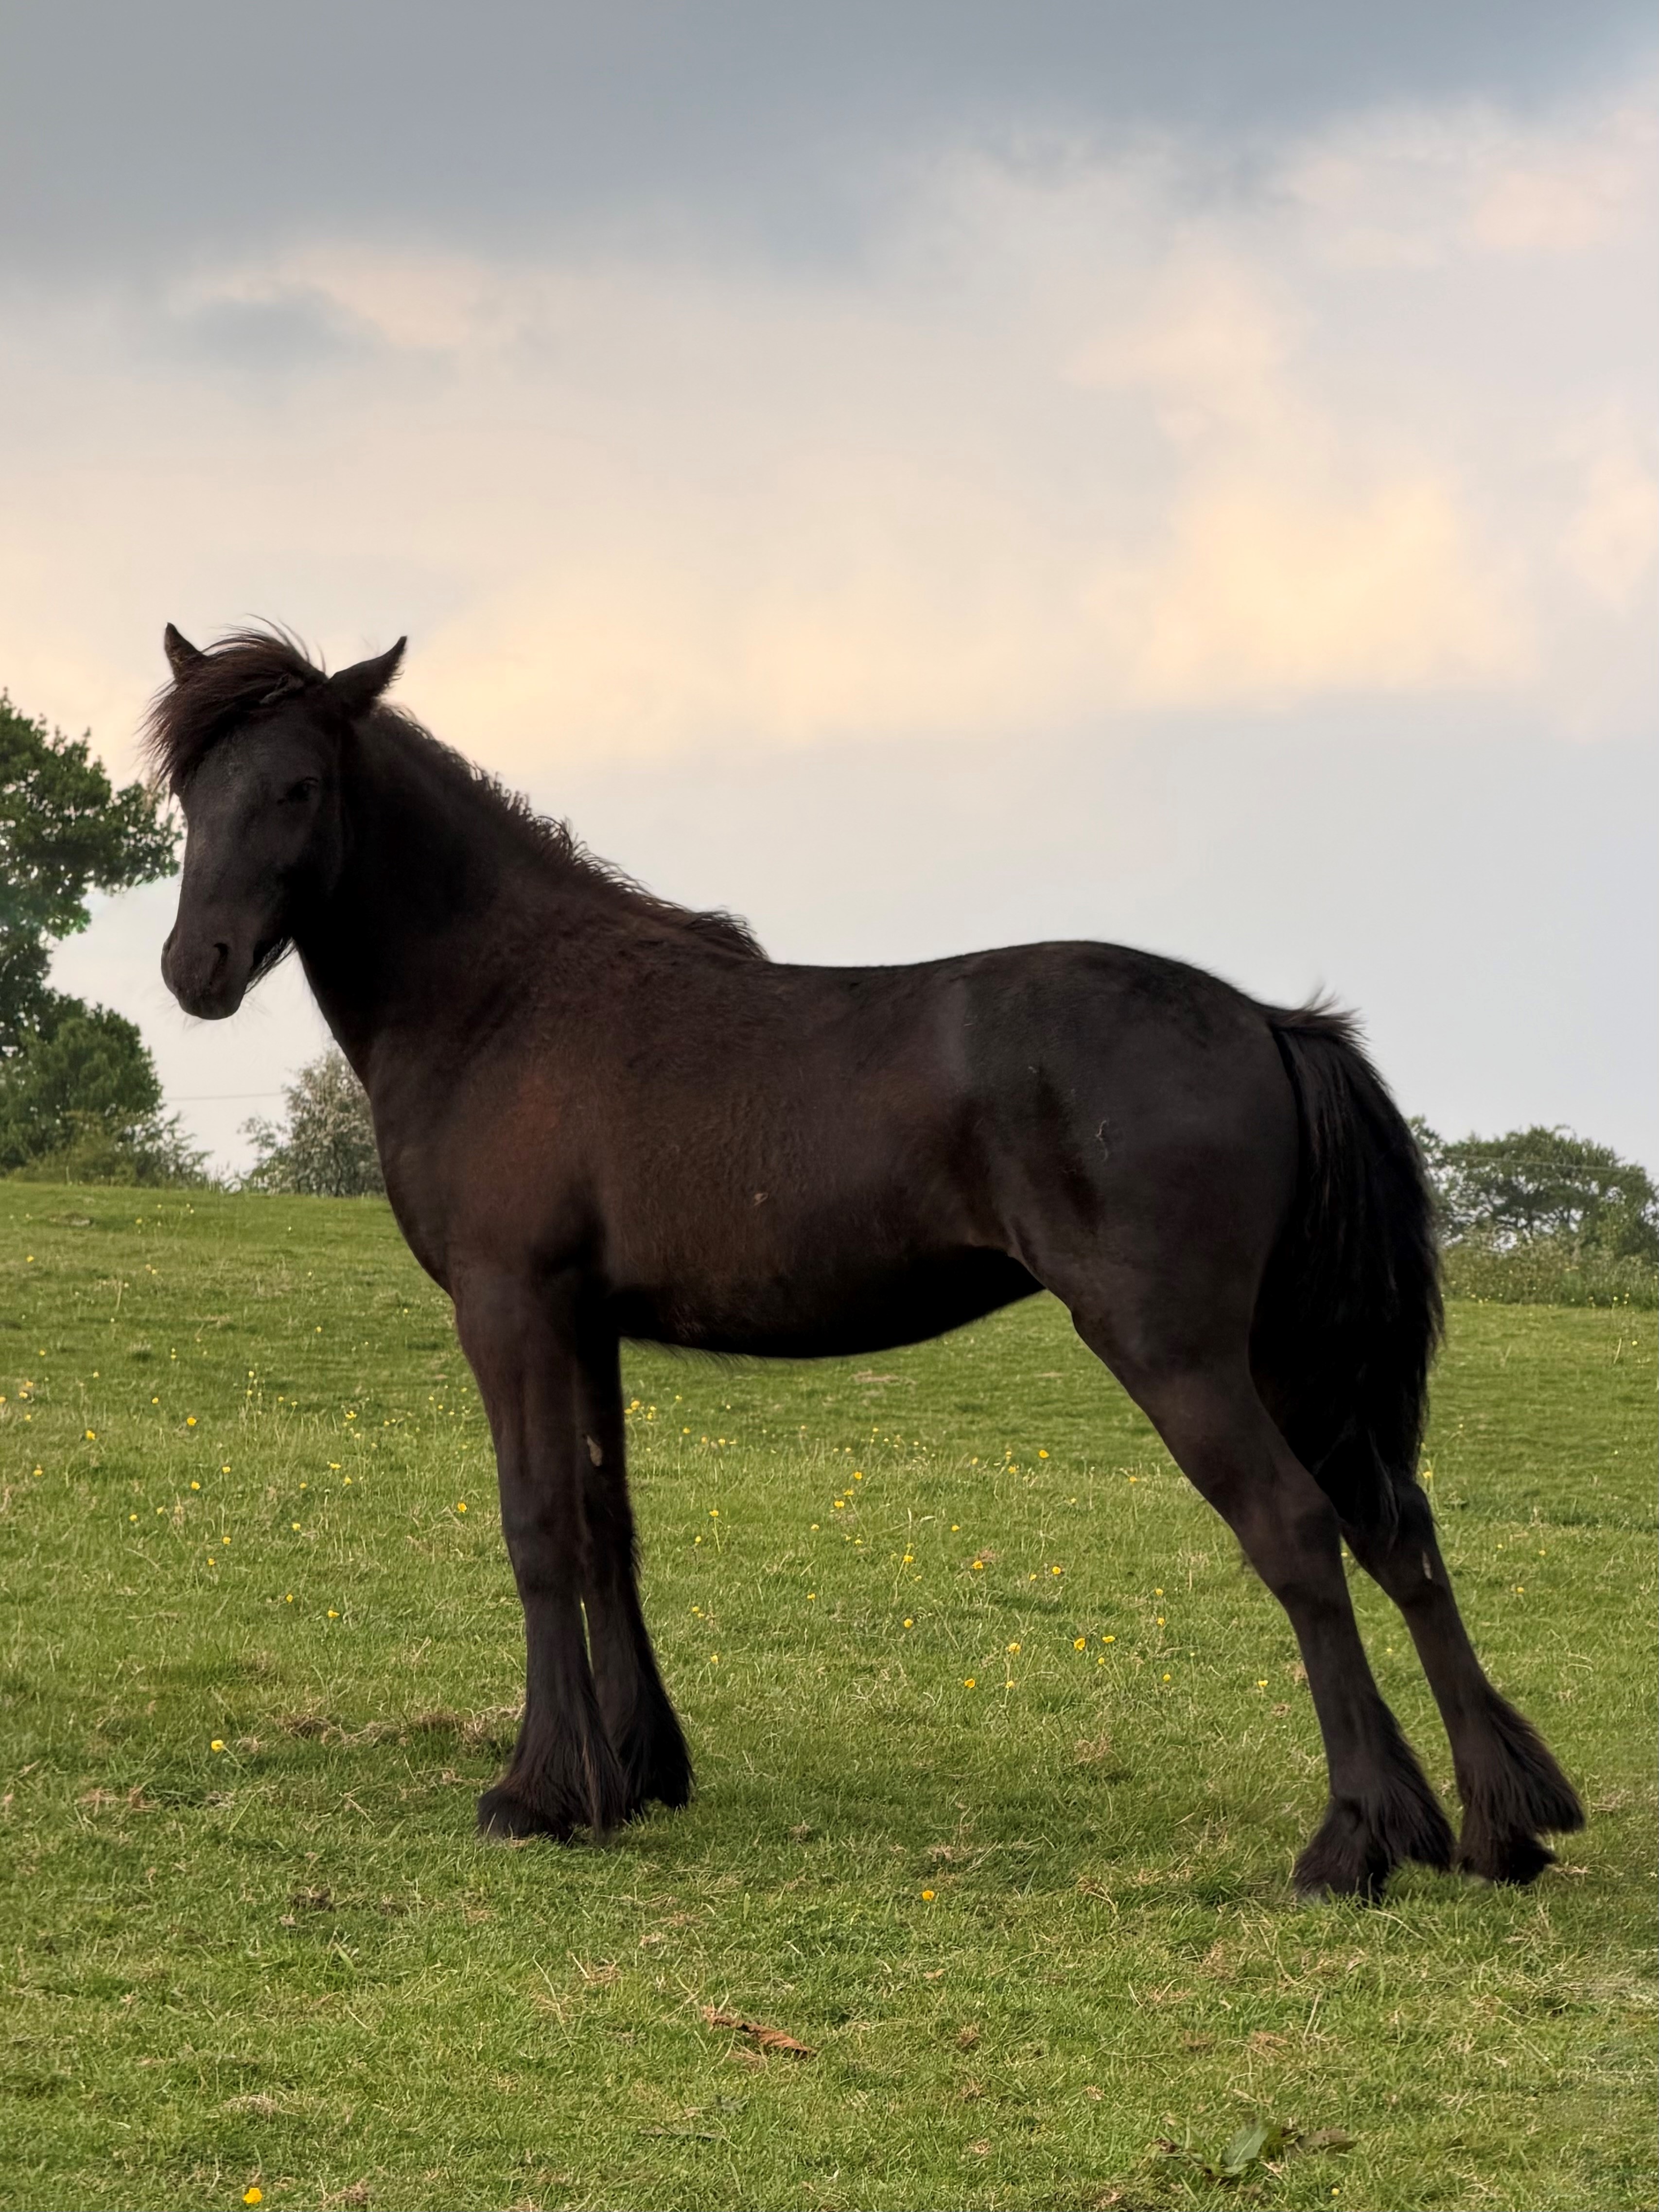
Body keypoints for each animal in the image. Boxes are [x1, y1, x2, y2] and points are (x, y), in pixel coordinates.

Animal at [148, 624, 1583, 1898]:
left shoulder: (512, 1310)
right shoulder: (586, 1322)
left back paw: (1353, 1841)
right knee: (1396, 1533)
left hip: (1175, 1350)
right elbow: (609, 1526)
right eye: (188, 793)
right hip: (1288, 1359)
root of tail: (1266, 1022)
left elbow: (538, 1524)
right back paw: (1493, 1826)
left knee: (1296, 1531)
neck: (506, 994)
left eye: (297, 786)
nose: (193, 967)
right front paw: (637, 1772)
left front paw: (538, 1791)